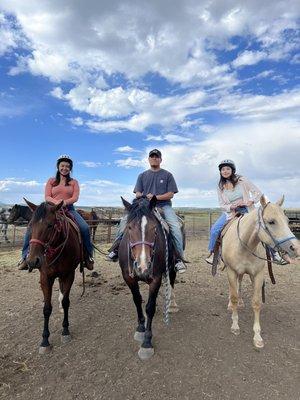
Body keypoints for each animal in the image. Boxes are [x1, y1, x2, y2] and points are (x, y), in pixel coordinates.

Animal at [24, 199, 82, 354]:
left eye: (50, 225)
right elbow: (46, 308)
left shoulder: (69, 275)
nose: (32, 261)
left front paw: (65, 331)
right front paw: (45, 340)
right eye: (30, 225)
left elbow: (67, 302)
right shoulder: (45, 278)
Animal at [223, 195, 300, 348]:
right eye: (271, 221)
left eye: (288, 221)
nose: (296, 248)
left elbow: (257, 302)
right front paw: (235, 326)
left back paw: (241, 301)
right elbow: (233, 297)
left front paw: (257, 336)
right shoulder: (231, 271)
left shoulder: (257, 275)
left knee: (240, 283)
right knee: (233, 288)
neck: (244, 246)